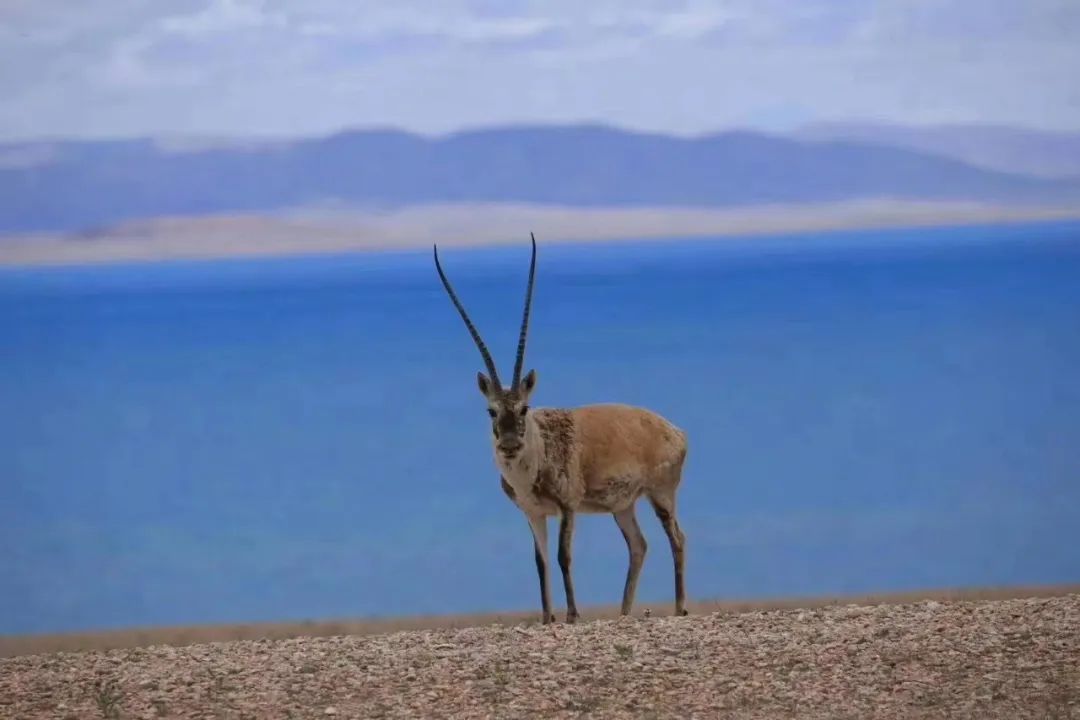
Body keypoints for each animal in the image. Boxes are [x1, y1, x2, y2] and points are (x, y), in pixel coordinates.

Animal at [434, 234, 686, 621]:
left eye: (524, 407)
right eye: (491, 411)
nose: (509, 445)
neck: (540, 447)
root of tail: (674, 431)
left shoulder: (568, 506)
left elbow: (562, 557)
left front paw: (572, 615)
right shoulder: (534, 513)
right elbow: (540, 562)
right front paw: (546, 617)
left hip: (661, 493)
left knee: (677, 538)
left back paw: (679, 607)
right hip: (623, 506)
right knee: (639, 545)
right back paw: (624, 612)